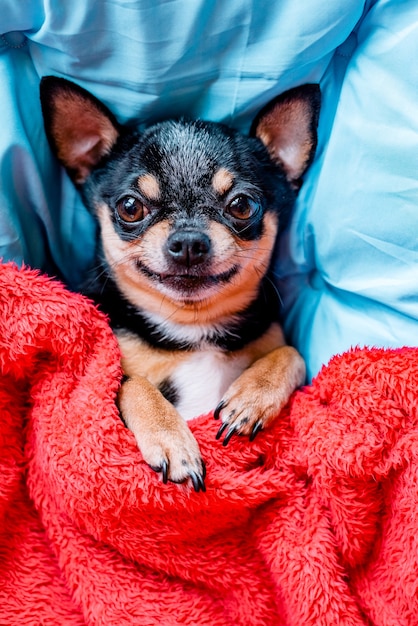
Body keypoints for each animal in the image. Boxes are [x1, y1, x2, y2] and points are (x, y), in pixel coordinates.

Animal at [40, 74, 320, 492]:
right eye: (130, 207)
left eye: (242, 206)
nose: (188, 241)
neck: (193, 327)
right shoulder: (109, 370)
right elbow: (131, 385)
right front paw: (171, 440)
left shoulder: (273, 337)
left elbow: (293, 354)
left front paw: (252, 398)